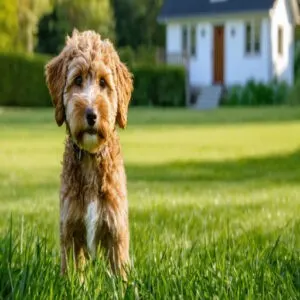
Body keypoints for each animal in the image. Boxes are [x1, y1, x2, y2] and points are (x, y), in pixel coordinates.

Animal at [44, 29, 132, 278]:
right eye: (78, 80)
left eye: (103, 82)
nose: (91, 114)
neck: (92, 158)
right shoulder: (70, 228)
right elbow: (73, 275)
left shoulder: (116, 230)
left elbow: (120, 274)